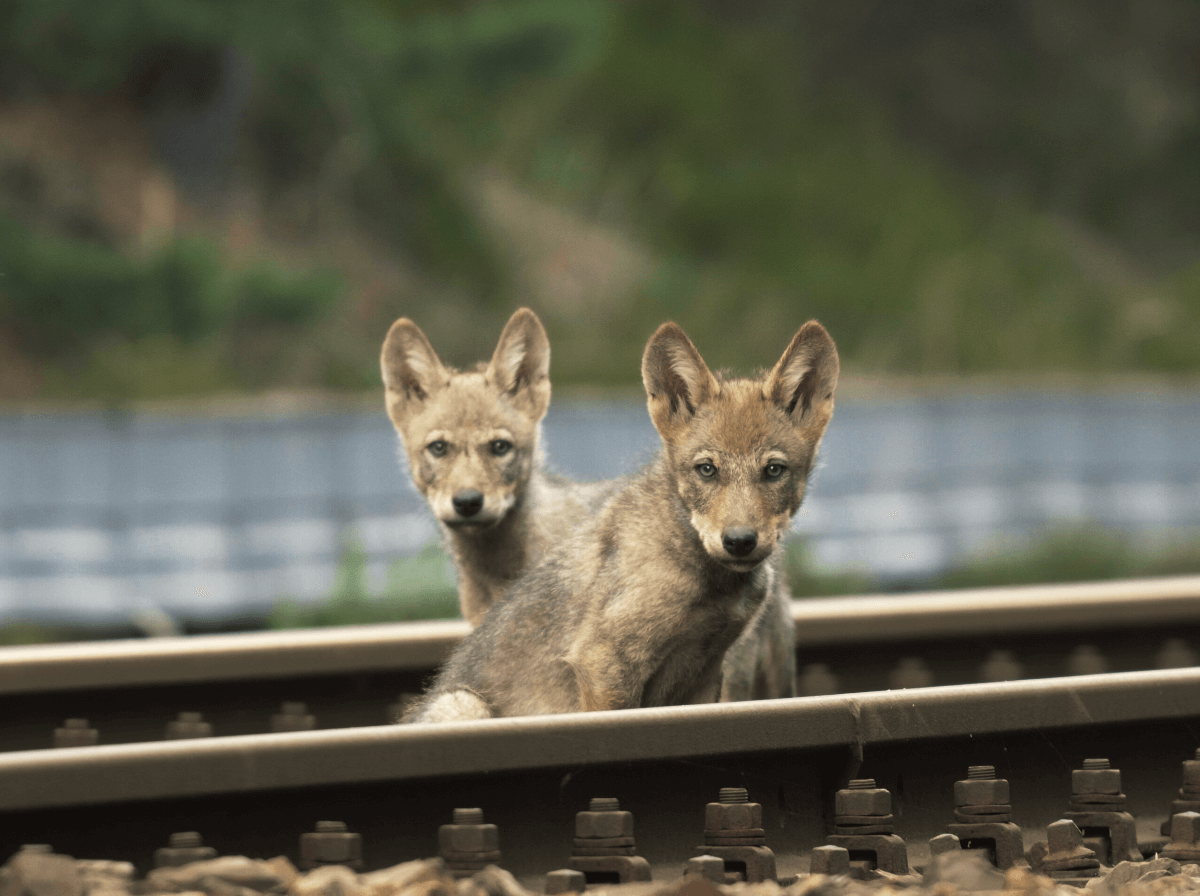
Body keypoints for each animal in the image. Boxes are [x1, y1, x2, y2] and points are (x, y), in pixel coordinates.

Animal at [407, 318, 838, 721]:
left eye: (774, 470)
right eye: (706, 470)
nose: (739, 541)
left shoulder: (705, 675)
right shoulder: (603, 661)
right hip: (462, 704)